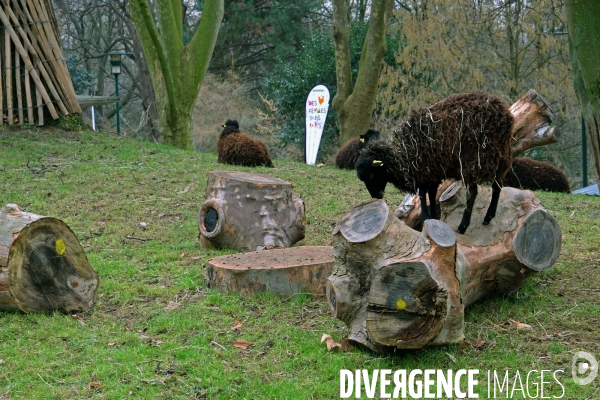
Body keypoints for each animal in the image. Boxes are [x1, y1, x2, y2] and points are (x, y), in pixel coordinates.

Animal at [358, 91, 512, 233]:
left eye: (371, 175)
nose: (376, 197)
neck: (403, 156)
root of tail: (503, 113)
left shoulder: (423, 169)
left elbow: (422, 194)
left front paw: (425, 219)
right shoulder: (432, 171)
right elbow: (431, 195)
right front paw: (433, 218)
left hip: (473, 159)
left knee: (472, 193)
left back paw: (463, 226)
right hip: (502, 156)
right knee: (497, 186)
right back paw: (488, 217)